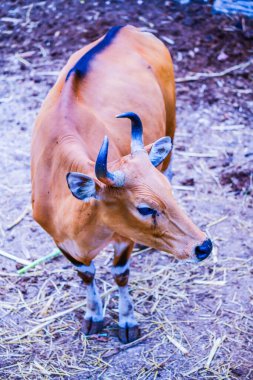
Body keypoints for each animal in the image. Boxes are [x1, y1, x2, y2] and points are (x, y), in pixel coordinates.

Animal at [31, 25, 211, 342]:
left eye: (169, 194)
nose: (204, 246)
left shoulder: (124, 236)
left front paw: (127, 321)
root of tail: (125, 29)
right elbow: (86, 274)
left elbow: (120, 274)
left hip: (172, 120)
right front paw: (93, 316)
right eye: (144, 208)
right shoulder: (60, 241)